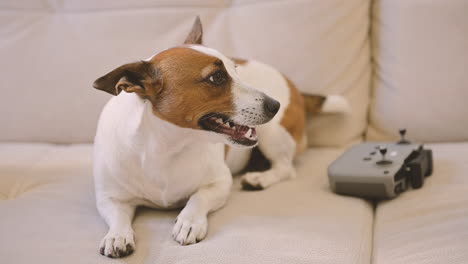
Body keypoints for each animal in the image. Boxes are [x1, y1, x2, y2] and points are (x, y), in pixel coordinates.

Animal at [92, 17, 348, 258]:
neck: (166, 146)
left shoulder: (220, 183)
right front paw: (117, 235)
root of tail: (297, 90)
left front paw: (189, 221)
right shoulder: (109, 198)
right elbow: (118, 216)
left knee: (286, 168)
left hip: (273, 134)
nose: (275, 105)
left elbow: (198, 198)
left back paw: (260, 178)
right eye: (216, 78)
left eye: (235, 69)